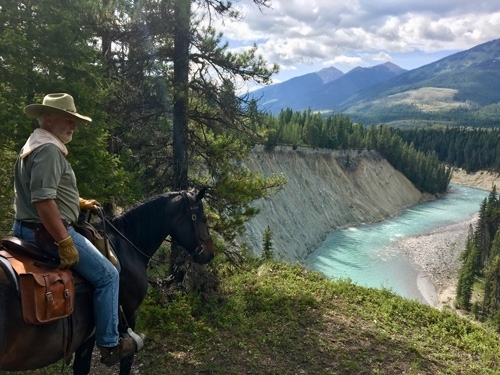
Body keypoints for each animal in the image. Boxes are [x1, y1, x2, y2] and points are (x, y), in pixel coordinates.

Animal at [0, 189, 215, 374]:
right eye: (203, 218)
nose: (210, 253)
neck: (127, 245)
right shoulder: (128, 314)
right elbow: (126, 361)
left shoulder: (87, 336)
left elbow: (81, 367)